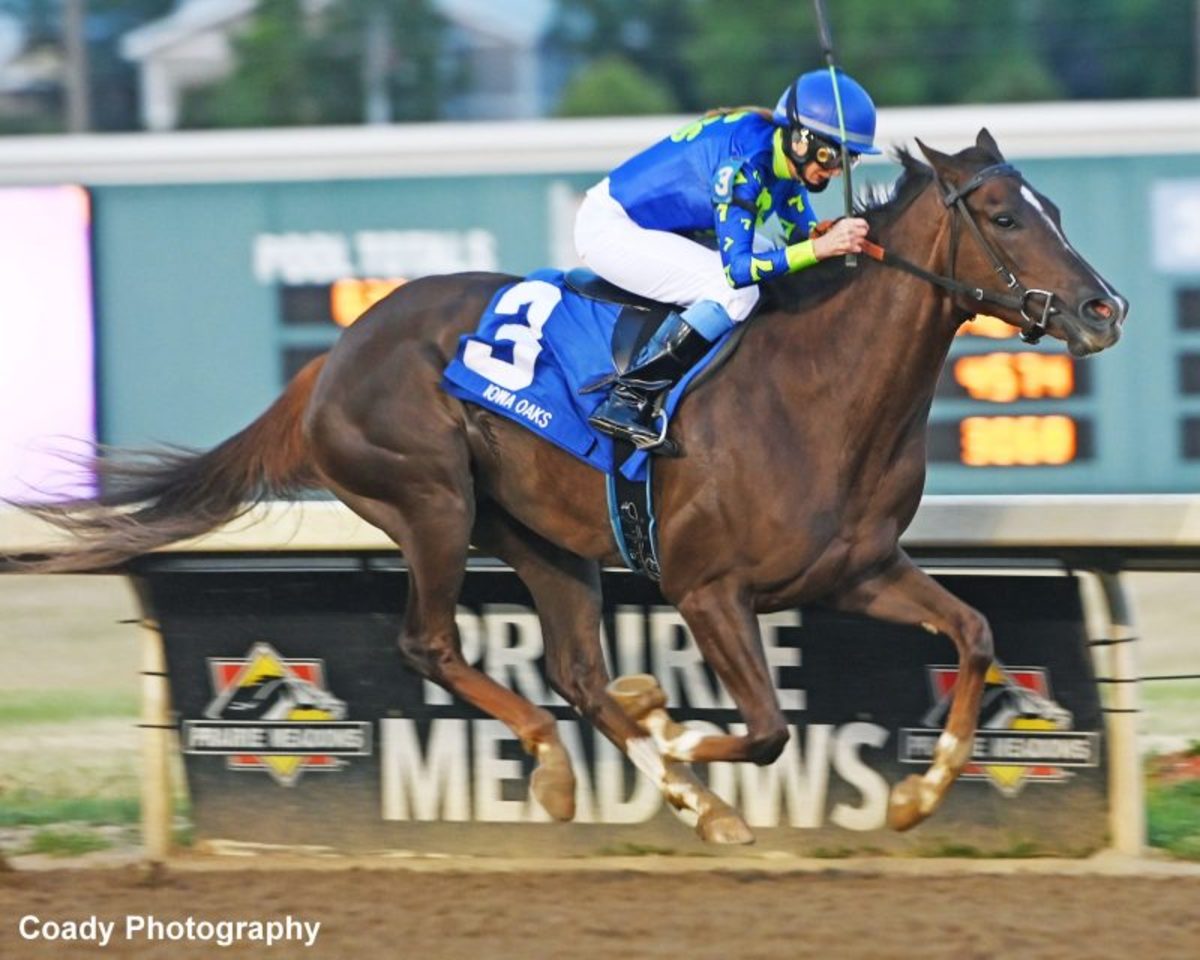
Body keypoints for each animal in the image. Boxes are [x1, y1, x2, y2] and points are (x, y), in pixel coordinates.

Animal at [15, 130, 1125, 843]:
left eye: (1057, 209)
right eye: (1000, 214)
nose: (1102, 308)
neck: (818, 389)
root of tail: (333, 356)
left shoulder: (853, 570)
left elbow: (973, 634)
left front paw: (911, 799)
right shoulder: (706, 588)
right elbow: (766, 729)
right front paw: (681, 730)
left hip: (539, 534)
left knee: (581, 673)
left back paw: (660, 787)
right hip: (433, 500)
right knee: (435, 643)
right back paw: (576, 770)